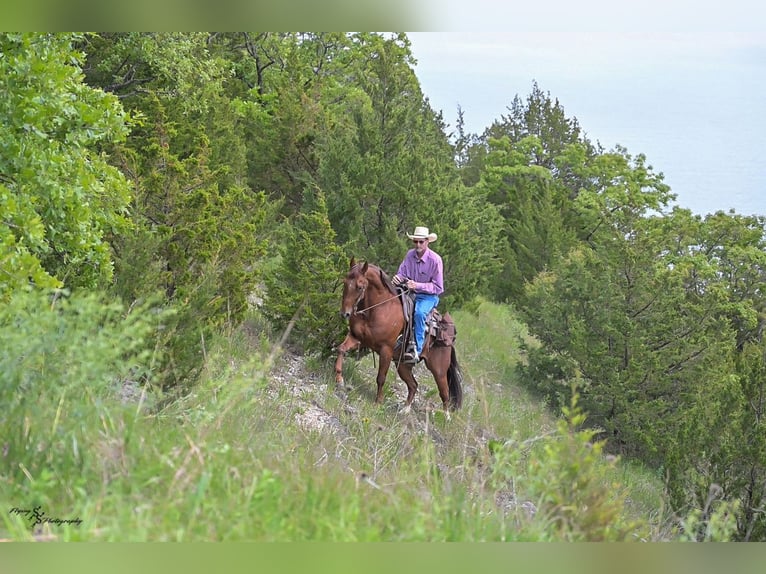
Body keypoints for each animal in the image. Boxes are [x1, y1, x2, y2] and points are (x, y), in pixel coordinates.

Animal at [334, 257, 463, 416]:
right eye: (345, 282)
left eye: (359, 287)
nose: (345, 313)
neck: (377, 309)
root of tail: (449, 341)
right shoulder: (356, 338)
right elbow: (341, 349)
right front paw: (339, 380)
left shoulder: (386, 350)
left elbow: (381, 377)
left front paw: (378, 402)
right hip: (402, 365)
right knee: (413, 385)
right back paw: (405, 409)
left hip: (439, 371)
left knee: (444, 394)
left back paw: (446, 417)